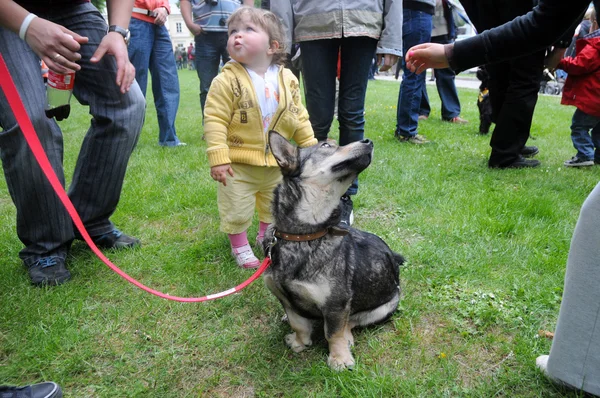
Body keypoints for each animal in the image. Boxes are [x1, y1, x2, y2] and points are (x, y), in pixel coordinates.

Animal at [262, 132, 404, 372]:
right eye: (326, 146)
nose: (368, 141)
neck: (304, 237)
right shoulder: (285, 298)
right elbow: (298, 323)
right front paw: (300, 342)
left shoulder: (336, 305)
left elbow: (333, 332)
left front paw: (339, 358)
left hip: (386, 306)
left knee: (352, 322)